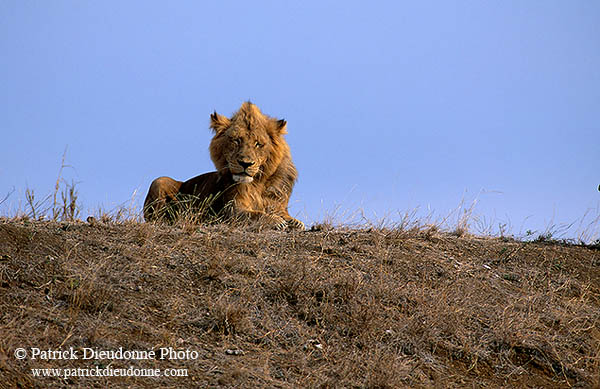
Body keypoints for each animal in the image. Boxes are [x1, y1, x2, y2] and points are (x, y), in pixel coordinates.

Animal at [144, 101, 304, 230]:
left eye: (258, 144)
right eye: (236, 140)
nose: (245, 163)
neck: (257, 183)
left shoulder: (277, 203)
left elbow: (288, 217)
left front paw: (293, 222)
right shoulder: (230, 210)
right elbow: (253, 215)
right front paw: (275, 221)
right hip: (159, 181)